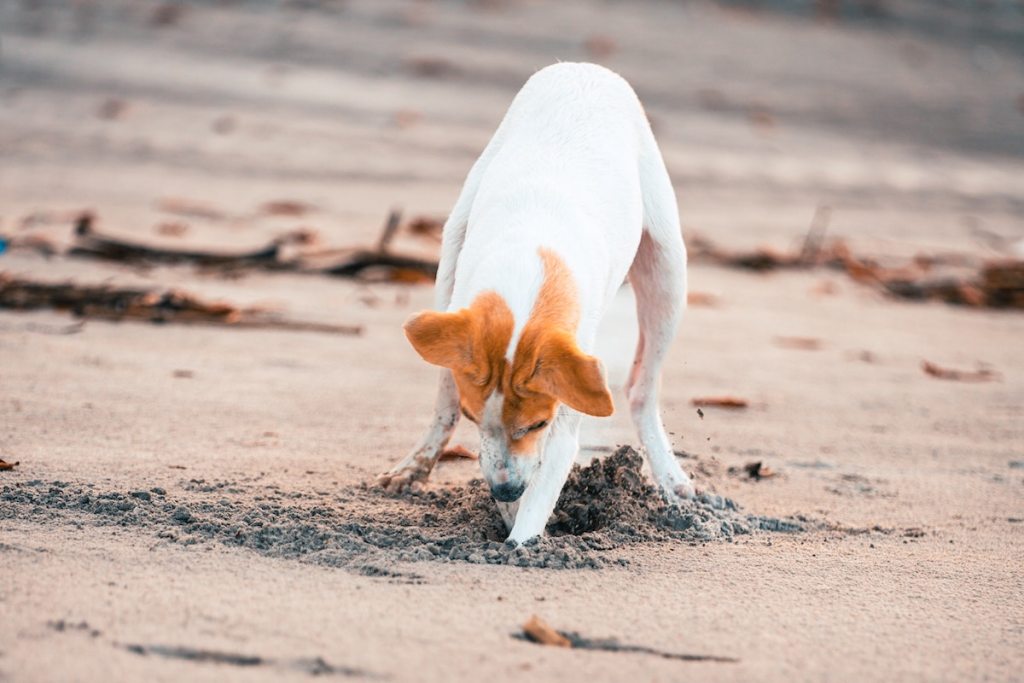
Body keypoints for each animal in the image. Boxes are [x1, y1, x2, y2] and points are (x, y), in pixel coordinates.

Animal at [376, 62, 696, 544]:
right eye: (474, 419)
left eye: (538, 424)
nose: (505, 490)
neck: (526, 268)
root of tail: (585, 67)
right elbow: (463, 417)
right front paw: (507, 518)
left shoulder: (565, 407)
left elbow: (541, 489)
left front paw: (520, 542)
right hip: (451, 253)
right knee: (443, 393)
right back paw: (415, 466)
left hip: (668, 273)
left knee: (643, 391)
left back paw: (671, 479)